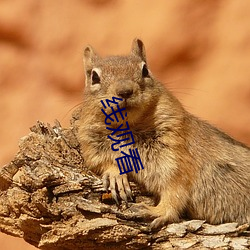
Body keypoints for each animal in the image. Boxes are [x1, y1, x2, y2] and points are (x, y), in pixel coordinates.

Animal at [77, 38, 249, 229]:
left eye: (145, 70)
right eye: (94, 77)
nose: (125, 91)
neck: (128, 127)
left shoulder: (175, 155)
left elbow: (175, 190)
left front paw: (156, 211)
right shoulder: (91, 143)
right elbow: (101, 162)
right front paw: (116, 176)